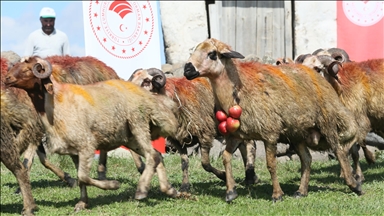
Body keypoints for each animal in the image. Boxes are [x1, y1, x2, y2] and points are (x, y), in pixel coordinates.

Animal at [4, 56, 182, 213]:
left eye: (28, 69)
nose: (6, 79)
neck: (55, 103)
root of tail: (147, 97)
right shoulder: (74, 150)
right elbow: (80, 178)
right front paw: (82, 203)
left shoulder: (86, 144)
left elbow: (82, 176)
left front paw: (113, 185)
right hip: (131, 137)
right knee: (157, 155)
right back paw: (170, 190)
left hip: (138, 123)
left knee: (152, 155)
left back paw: (142, 190)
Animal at [127, 67, 260, 192]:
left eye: (146, 81)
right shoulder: (178, 139)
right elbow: (184, 163)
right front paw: (184, 186)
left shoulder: (204, 133)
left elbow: (205, 164)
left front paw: (223, 175)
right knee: (243, 145)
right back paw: (251, 177)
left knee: (250, 144)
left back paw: (250, 175)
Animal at [184, 38, 364, 202]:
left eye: (212, 54)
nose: (187, 69)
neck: (237, 92)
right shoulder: (236, 135)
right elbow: (226, 157)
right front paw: (230, 192)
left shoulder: (269, 133)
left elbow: (271, 164)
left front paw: (277, 195)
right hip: (297, 132)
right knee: (307, 158)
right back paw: (301, 191)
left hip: (327, 122)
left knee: (339, 151)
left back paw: (354, 185)